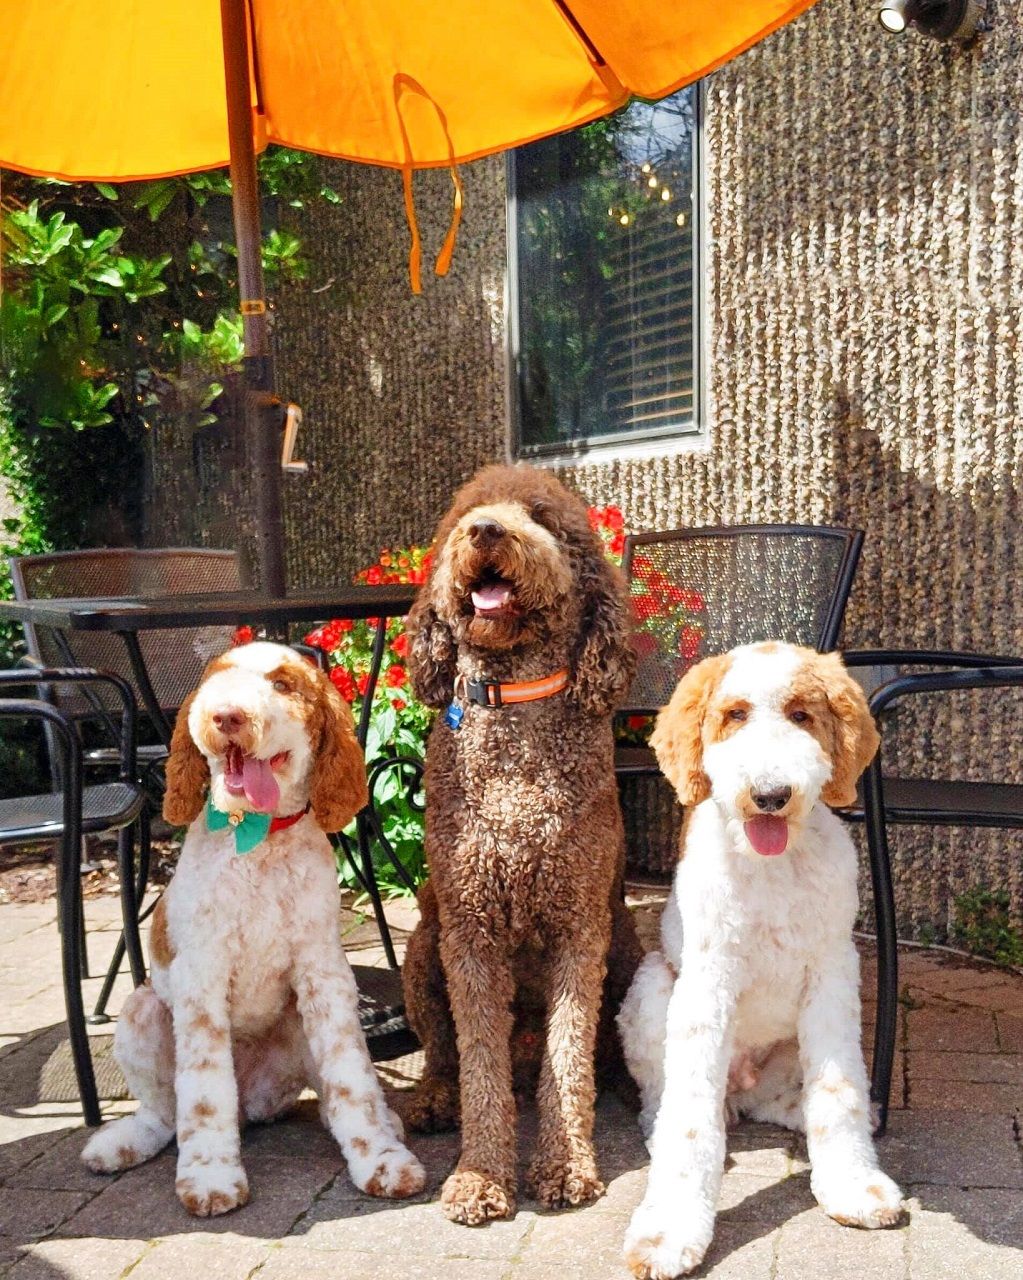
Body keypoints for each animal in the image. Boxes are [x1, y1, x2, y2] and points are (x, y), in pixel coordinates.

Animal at [81, 641, 425, 1215]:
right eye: (215, 682)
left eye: (283, 684)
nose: (227, 716)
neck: (257, 838)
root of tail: (253, 1103)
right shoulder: (201, 982)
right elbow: (202, 1095)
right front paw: (210, 1176)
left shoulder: (325, 976)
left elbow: (352, 1077)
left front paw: (380, 1158)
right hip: (140, 1010)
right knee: (166, 1112)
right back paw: (123, 1142)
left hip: (297, 1022)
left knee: (330, 1091)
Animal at [401, 463, 644, 1225]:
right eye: (463, 517)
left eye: (541, 516)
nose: (485, 531)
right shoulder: (469, 932)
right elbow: (478, 1065)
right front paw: (480, 1176)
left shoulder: (579, 928)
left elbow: (568, 1061)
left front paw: (565, 1165)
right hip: (422, 950)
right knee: (445, 1052)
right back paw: (434, 1098)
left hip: (629, 950)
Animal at [617, 642, 904, 1278]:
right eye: (735, 715)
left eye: (801, 715)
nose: (771, 795)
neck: (774, 864)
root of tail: (742, 1089)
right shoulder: (707, 984)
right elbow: (689, 1120)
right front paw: (669, 1230)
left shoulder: (833, 974)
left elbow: (839, 1090)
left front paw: (852, 1184)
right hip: (651, 989)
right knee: (665, 1098)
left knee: (780, 1102)